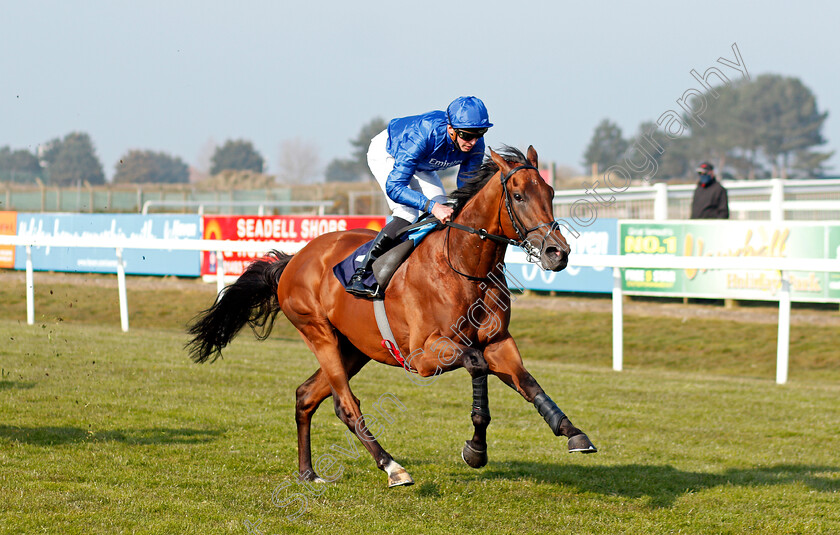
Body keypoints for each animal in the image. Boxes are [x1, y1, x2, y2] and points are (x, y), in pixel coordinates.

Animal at [189, 147, 596, 490]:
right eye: (518, 195)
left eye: (550, 191)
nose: (558, 252)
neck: (464, 268)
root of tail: (293, 260)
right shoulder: (424, 357)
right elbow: (477, 366)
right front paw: (475, 451)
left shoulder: (498, 342)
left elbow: (529, 383)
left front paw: (573, 432)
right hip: (318, 333)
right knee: (346, 405)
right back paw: (392, 467)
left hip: (354, 347)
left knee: (306, 395)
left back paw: (308, 472)